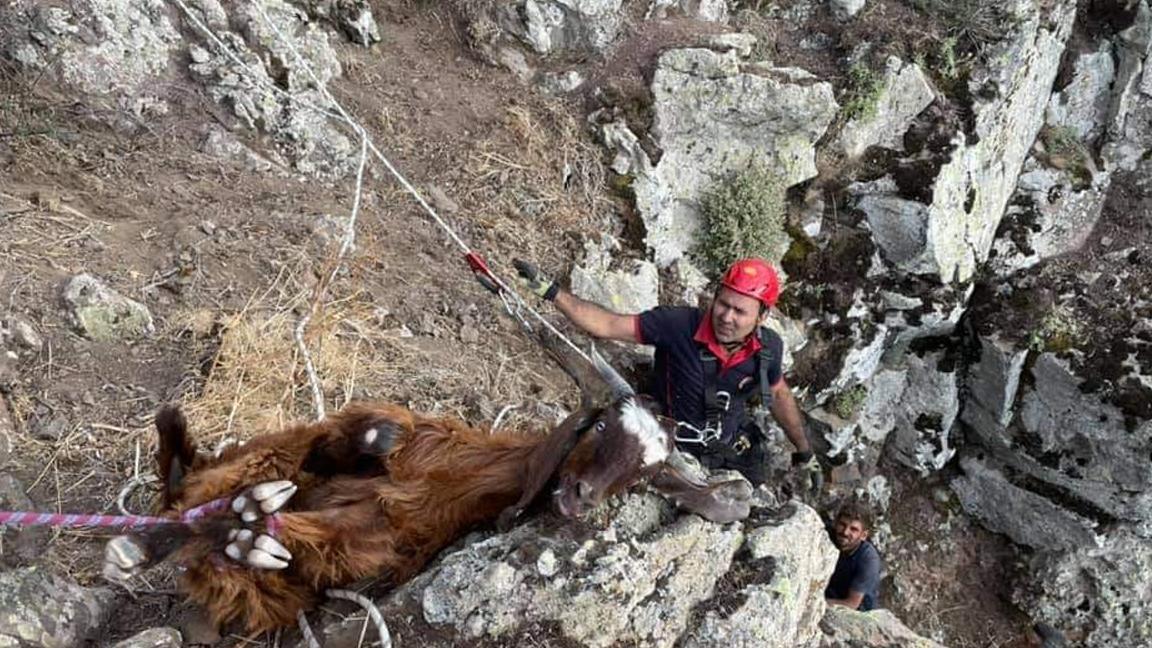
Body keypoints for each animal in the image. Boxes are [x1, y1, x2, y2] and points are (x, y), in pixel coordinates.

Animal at [103, 348, 751, 631]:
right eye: (599, 428)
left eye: (645, 475)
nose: (581, 497)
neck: (466, 476)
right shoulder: (392, 434)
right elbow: (374, 431)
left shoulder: (383, 544)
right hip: (263, 455)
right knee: (197, 489)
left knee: (227, 545)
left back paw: (236, 530)